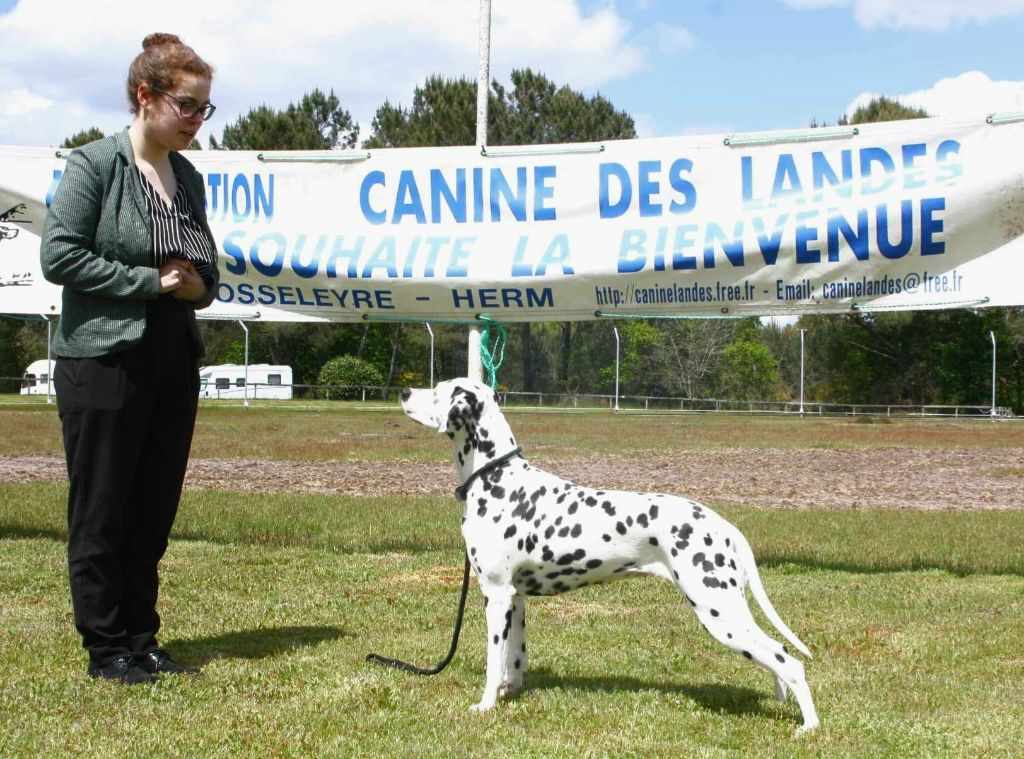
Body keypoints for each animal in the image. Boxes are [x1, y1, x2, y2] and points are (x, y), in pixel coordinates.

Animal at [395, 378, 819, 733]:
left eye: (439, 390)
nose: (403, 391)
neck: (496, 478)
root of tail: (723, 525)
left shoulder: (496, 595)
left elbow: (492, 661)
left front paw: (485, 705)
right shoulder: (515, 599)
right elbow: (514, 660)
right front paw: (508, 693)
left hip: (719, 612)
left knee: (789, 660)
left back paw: (809, 727)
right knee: (778, 654)